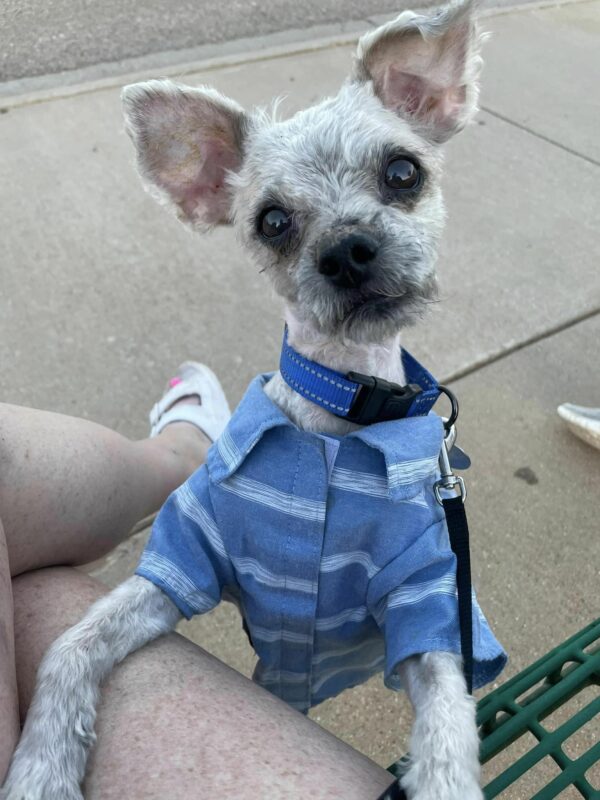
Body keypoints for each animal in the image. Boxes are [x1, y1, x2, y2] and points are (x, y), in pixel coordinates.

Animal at [2, 3, 506, 796]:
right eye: (272, 221)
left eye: (404, 172)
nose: (346, 251)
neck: (339, 415)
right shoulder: (180, 561)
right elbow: (70, 645)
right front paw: (42, 767)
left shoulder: (425, 597)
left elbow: (450, 726)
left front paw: (439, 773)